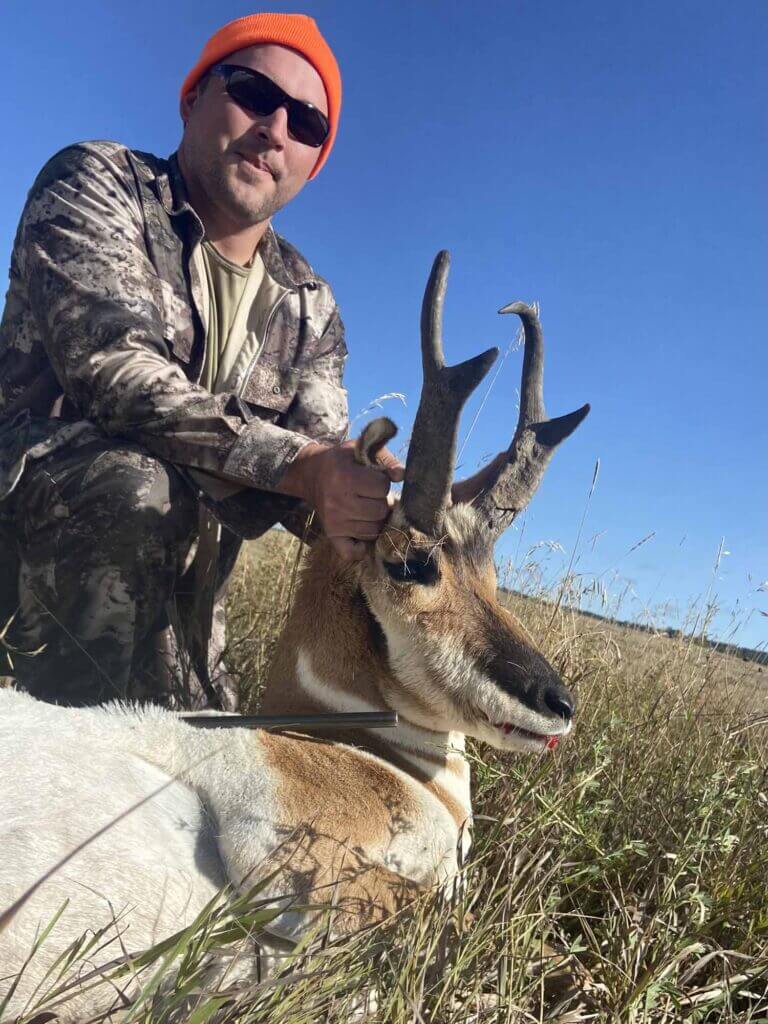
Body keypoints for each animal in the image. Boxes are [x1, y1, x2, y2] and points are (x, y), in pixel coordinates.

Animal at [0, 252, 589, 1019]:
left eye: (493, 573)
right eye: (412, 563)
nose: (558, 704)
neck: (359, 751)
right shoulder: (280, 854)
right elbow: (429, 923)